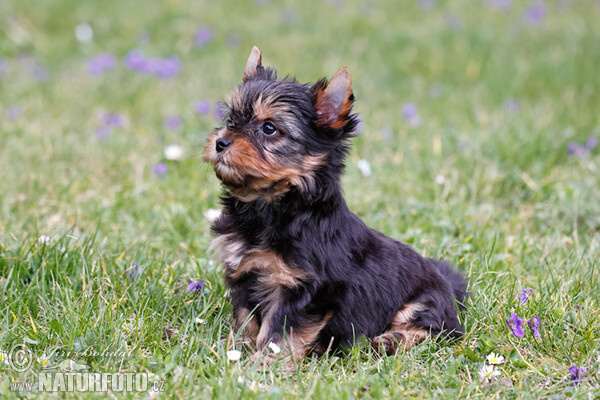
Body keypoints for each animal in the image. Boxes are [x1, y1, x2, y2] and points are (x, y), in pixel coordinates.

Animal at [204, 46, 466, 362]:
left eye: (269, 128)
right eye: (232, 120)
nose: (221, 141)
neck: (272, 204)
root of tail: (448, 286)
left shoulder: (304, 289)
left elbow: (280, 331)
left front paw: (264, 363)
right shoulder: (244, 274)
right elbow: (246, 318)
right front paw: (236, 350)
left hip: (425, 301)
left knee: (432, 329)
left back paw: (391, 340)